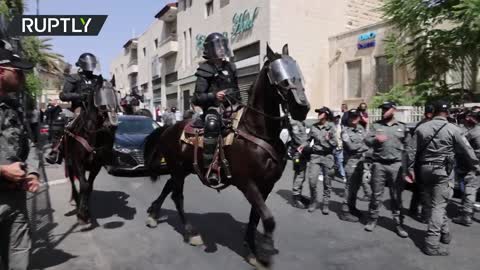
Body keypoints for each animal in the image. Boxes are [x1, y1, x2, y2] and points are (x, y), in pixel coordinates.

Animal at [64, 80, 118, 226]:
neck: (90, 134)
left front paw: (86, 211)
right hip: (69, 163)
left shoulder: (96, 166)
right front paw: (82, 214)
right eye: (99, 98)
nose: (112, 124)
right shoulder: (78, 163)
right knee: (73, 182)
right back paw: (76, 200)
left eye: (115, 95)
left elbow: (89, 186)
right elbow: (84, 185)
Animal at [143, 44, 308, 268]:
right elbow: (268, 218)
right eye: (278, 75)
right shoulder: (247, 183)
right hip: (177, 169)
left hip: (183, 169)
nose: (302, 107)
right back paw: (190, 232)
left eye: (296, 70)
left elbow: (256, 217)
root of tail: (168, 128)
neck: (259, 132)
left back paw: (153, 213)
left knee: (169, 186)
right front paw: (265, 254)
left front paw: (252, 250)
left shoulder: (266, 185)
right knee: (177, 196)